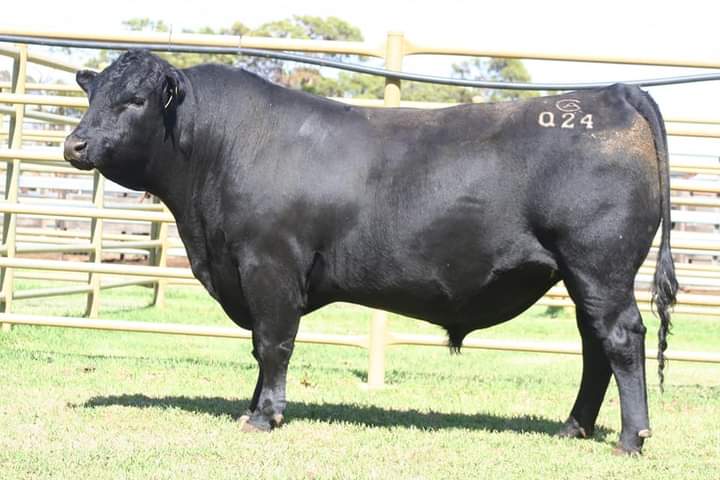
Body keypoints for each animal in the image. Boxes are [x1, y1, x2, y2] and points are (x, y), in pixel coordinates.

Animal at [64, 50, 677, 454]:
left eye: (135, 100)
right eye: (91, 95)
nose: (75, 144)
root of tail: (612, 93)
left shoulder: (268, 264)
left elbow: (272, 344)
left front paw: (265, 417)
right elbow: (261, 348)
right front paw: (252, 407)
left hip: (599, 266)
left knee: (621, 339)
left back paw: (630, 438)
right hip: (580, 275)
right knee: (595, 347)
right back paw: (573, 427)